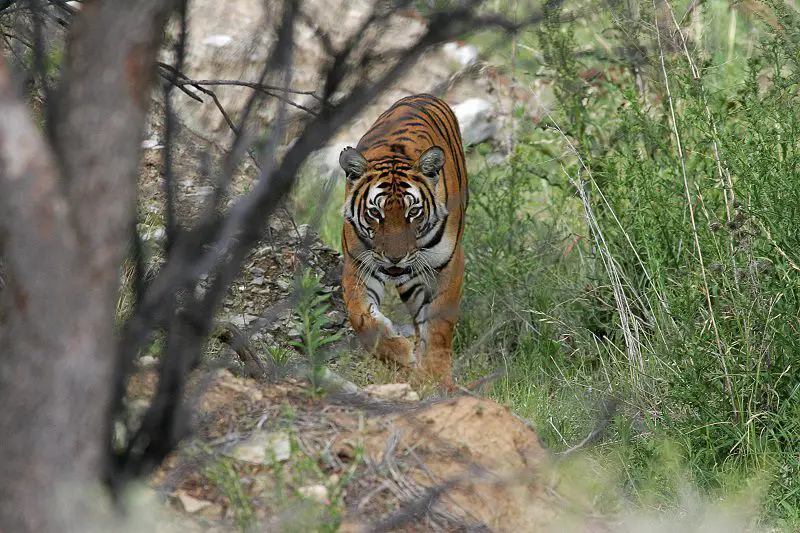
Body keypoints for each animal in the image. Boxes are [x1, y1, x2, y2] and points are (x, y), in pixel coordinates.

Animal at [339, 93, 468, 384]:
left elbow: (440, 325)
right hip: (411, 283)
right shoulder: (358, 265)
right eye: (375, 213)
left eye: (414, 212)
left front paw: (437, 375)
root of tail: (420, 95)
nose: (395, 258)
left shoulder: (450, 264)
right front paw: (402, 355)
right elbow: (360, 317)